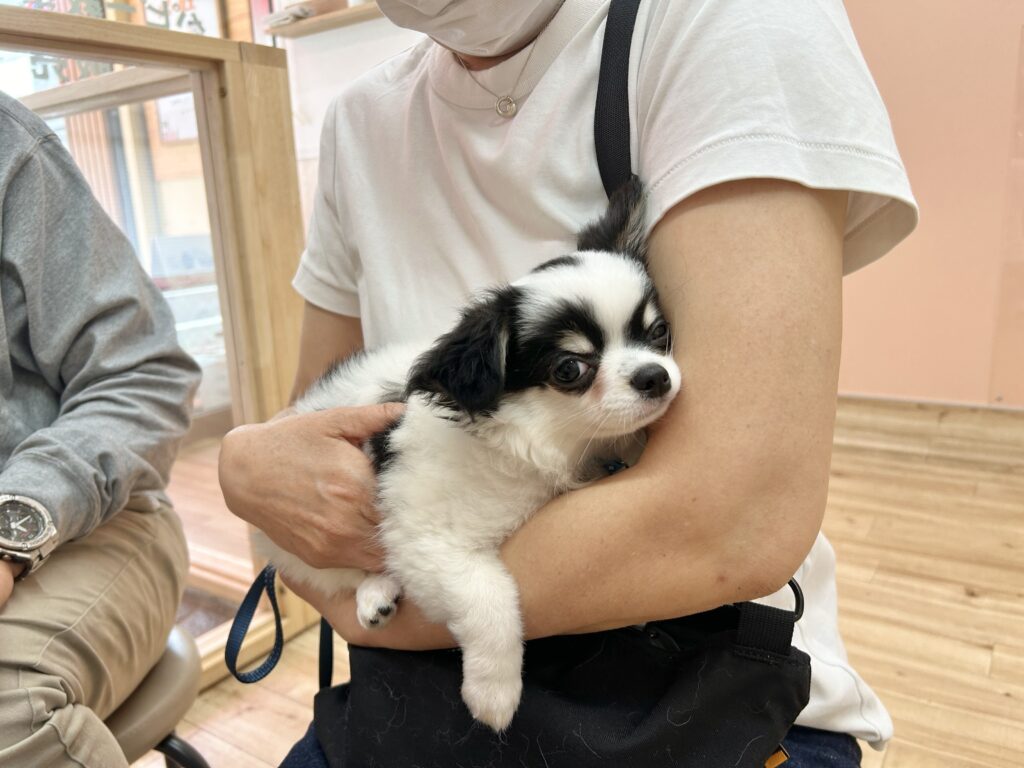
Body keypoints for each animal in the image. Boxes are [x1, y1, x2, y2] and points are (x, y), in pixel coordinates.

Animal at [258, 180, 679, 733]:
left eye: (658, 333)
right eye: (570, 369)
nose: (656, 376)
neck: (541, 442)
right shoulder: (430, 540)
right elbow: (489, 595)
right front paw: (493, 692)